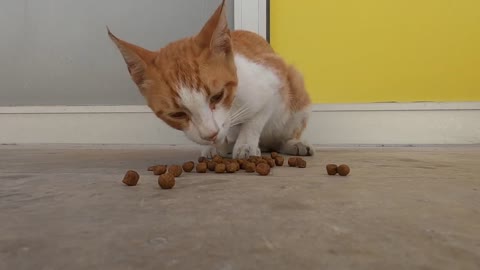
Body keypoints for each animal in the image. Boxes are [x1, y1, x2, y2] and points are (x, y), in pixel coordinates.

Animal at [107, 0, 314, 159]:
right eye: (177, 114)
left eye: (217, 96)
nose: (210, 135)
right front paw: (215, 146)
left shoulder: (274, 82)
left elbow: (256, 118)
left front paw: (245, 144)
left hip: (295, 86)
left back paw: (292, 143)